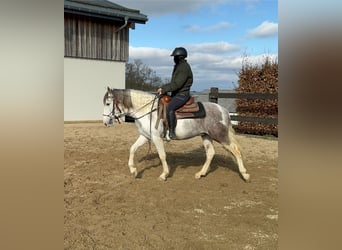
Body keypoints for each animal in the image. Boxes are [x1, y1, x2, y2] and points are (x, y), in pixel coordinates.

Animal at [103, 88, 250, 182]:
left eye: (108, 103)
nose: (105, 122)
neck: (147, 111)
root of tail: (223, 110)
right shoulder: (145, 136)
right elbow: (132, 149)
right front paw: (133, 170)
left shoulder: (156, 138)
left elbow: (162, 155)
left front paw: (164, 175)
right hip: (206, 136)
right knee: (210, 153)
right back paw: (200, 173)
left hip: (220, 136)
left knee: (236, 151)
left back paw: (245, 175)